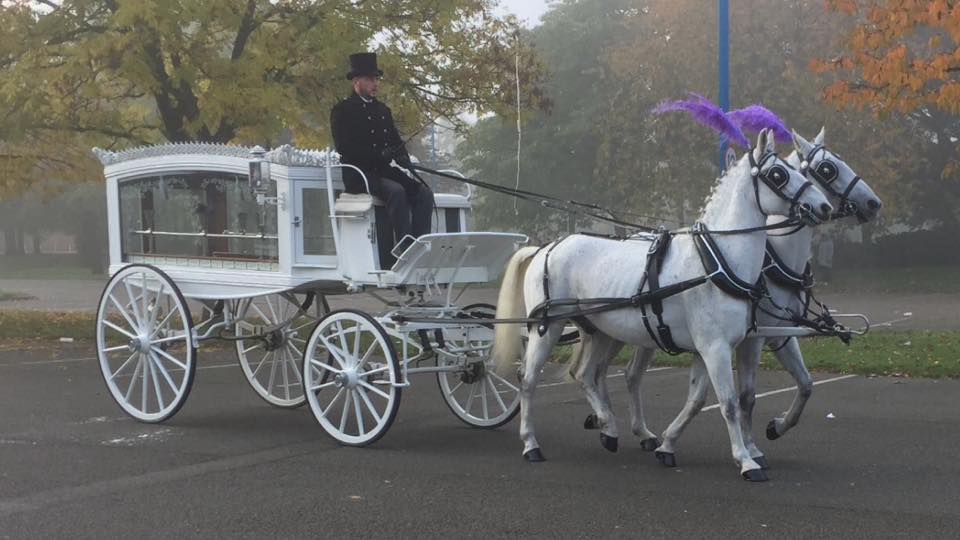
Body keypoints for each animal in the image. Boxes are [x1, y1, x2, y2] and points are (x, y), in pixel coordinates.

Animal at [496, 130, 832, 480]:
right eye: (778, 174)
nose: (824, 206)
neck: (716, 261)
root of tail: (546, 247)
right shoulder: (715, 347)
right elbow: (727, 403)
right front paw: (746, 460)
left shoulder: (711, 347)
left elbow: (701, 400)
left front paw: (668, 445)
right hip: (548, 328)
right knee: (529, 380)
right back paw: (531, 443)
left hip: (601, 330)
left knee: (586, 375)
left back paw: (608, 427)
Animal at [620, 125, 880, 468]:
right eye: (828, 168)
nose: (874, 203)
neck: (771, 259)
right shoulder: (757, 337)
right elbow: (745, 395)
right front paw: (751, 447)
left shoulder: (779, 332)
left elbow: (805, 384)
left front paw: (775, 428)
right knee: (628, 373)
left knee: (631, 374)